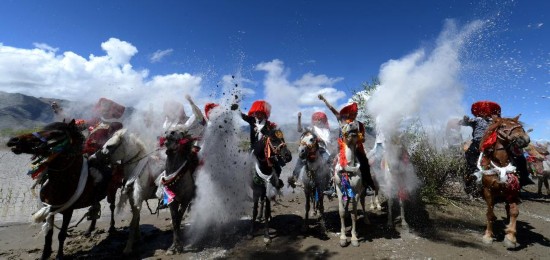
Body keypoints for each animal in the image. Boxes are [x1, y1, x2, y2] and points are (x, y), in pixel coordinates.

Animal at [6, 120, 105, 260]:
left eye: (55, 133)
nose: (14, 140)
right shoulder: (49, 208)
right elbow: (49, 234)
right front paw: (45, 254)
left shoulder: (68, 211)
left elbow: (61, 234)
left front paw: (59, 255)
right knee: (96, 207)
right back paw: (89, 230)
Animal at [476, 115, 532, 248]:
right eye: (502, 126)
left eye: (519, 126)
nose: (525, 139)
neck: (501, 166)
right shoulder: (488, 191)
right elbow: (490, 213)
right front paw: (488, 236)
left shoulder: (512, 191)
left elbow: (514, 212)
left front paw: (510, 237)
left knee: (508, 209)